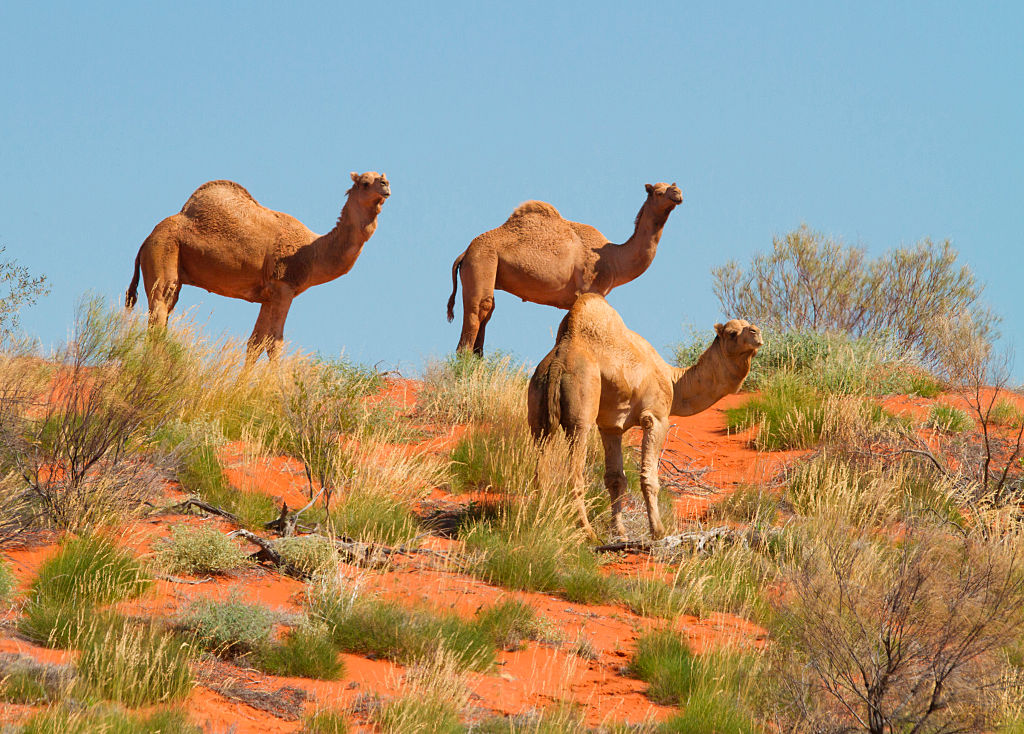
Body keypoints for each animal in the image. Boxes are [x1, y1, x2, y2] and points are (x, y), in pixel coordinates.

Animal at [125, 172, 390, 361]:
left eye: (381, 176)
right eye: (365, 182)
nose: (385, 184)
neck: (312, 251)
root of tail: (146, 239)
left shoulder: (268, 295)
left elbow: (255, 343)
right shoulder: (284, 287)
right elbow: (275, 343)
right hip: (163, 252)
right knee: (159, 311)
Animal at [446, 182, 683, 355]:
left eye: (672, 186)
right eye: (659, 191)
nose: (678, 193)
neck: (613, 257)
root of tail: (464, 253)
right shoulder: (588, 288)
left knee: (486, 315)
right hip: (482, 262)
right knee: (477, 314)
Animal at [527, 294, 762, 541]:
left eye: (748, 325)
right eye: (732, 333)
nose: (756, 332)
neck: (673, 380)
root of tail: (558, 362)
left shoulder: (611, 426)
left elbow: (615, 479)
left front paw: (619, 532)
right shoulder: (656, 417)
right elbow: (649, 477)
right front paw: (657, 530)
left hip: (538, 402)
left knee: (540, 467)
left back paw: (541, 520)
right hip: (581, 402)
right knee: (575, 470)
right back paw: (587, 532)